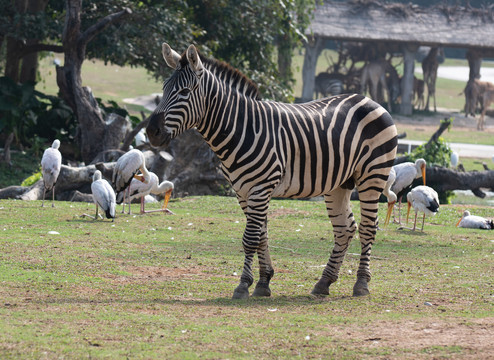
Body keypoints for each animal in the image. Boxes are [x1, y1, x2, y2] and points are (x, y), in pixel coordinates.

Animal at [146, 43, 398, 300]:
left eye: (184, 92)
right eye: (164, 89)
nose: (151, 131)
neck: (241, 129)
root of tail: (367, 99)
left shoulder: (260, 187)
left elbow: (250, 238)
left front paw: (243, 285)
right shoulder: (243, 191)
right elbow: (261, 236)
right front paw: (263, 282)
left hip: (372, 175)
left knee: (367, 228)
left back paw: (361, 284)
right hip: (339, 182)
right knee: (345, 229)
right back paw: (323, 282)